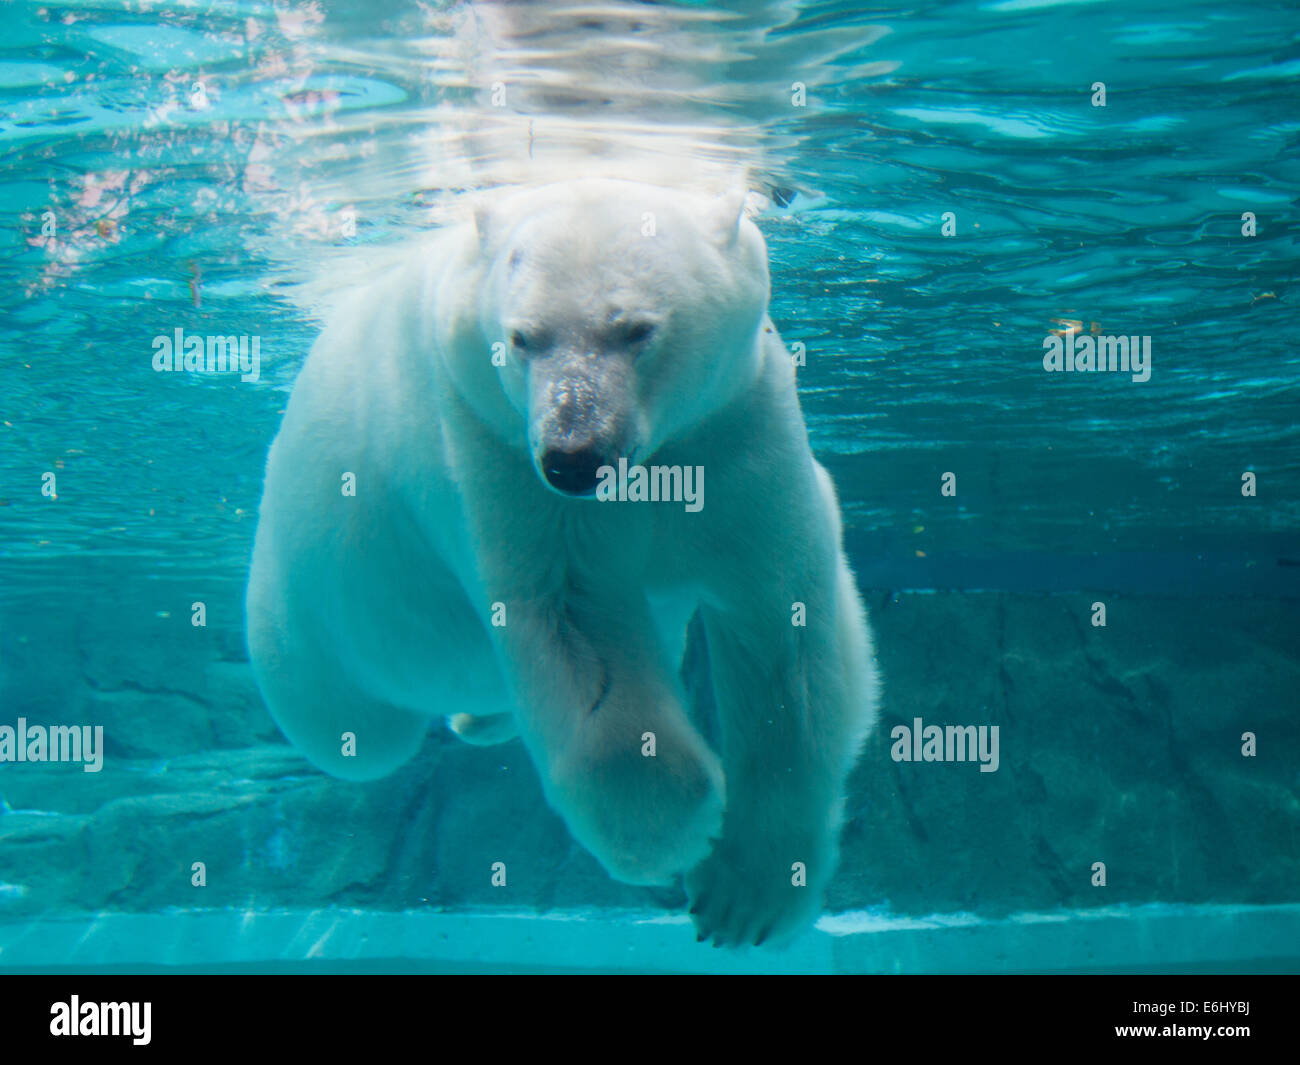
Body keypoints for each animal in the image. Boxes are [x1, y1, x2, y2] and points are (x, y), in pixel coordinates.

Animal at [248, 179, 878, 946]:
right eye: (522, 338)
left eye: (635, 330)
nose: (573, 456)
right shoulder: (490, 440)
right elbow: (570, 616)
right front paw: (668, 834)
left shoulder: (735, 421)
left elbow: (782, 634)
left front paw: (748, 898)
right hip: (306, 607)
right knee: (360, 736)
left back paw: (475, 720)